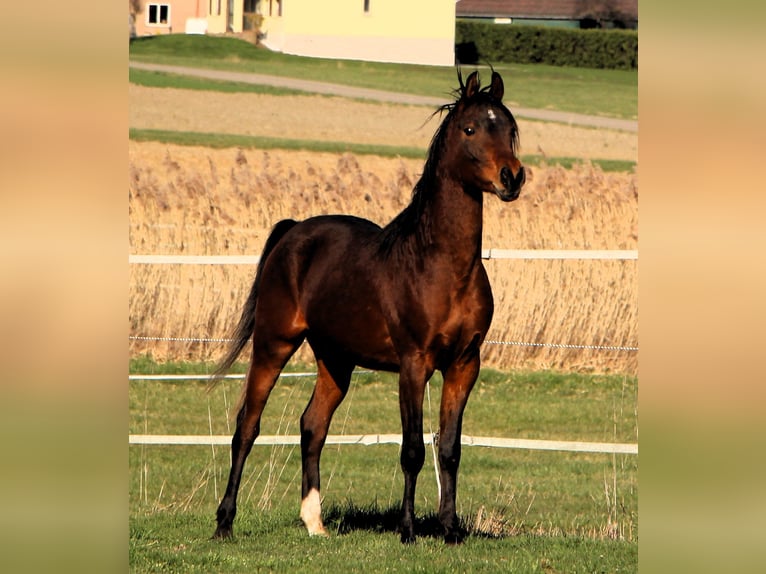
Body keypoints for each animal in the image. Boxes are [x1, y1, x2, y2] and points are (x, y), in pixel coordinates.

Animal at [211, 70, 525, 544]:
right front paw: (408, 530)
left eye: (509, 129)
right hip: (272, 344)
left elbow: (449, 449)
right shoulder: (414, 364)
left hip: (335, 360)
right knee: (247, 425)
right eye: (471, 129)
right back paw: (225, 522)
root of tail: (293, 231)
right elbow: (413, 449)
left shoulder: (464, 365)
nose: (512, 177)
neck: (440, 264)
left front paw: (450, 530)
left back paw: (315, 523)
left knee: (312, 427)